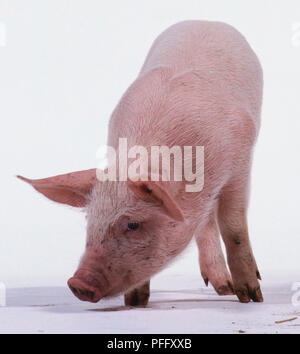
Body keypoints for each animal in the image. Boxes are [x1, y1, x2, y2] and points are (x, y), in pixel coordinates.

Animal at [18, 20, 262, 306]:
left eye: (133, 224)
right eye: (90, 220)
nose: (77, 284)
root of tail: (205, 20)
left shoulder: (241, 161)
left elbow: (234, 227)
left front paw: (251, 297)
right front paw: (134, 303)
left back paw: (227, 290)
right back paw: (221, 287)